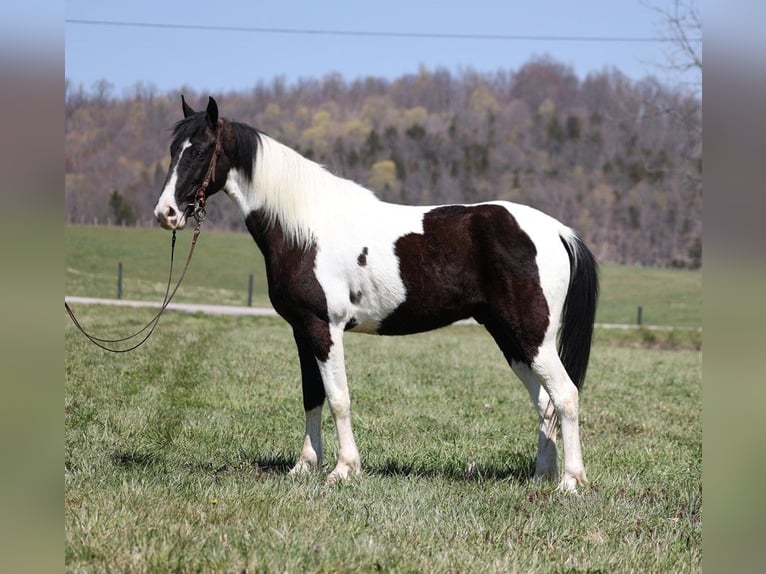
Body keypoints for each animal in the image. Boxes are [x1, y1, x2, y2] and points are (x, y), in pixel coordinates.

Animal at [154, 95, 600, 496]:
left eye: (200, 151)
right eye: (174, 150)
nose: (165, 214)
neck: (305, 228)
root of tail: (558, 230)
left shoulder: (326, 327)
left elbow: (338, 398)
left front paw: (343, 470)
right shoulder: (302, 330)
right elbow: (312, 396)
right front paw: (304, 467)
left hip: (533, 337)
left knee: (565, 396)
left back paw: (570, 483)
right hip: (511, 338)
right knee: (544, 403)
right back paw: (541, 476)